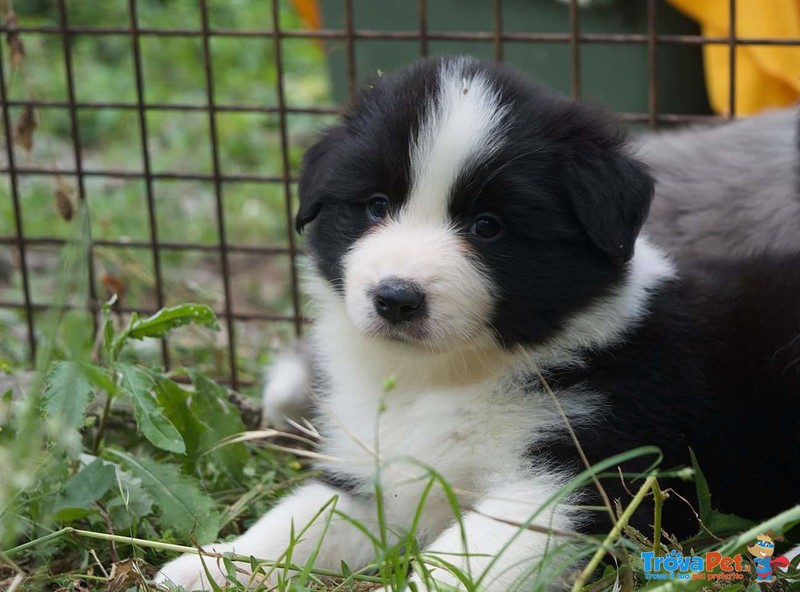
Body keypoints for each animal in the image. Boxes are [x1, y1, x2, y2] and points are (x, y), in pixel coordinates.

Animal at [158, 56, 800, 592]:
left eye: (488, 226)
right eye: (375, 206)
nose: (396, 298)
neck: (446, 377)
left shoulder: (579, 477)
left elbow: (461, 563)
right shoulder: (377, 474)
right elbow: (296, 520)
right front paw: (206, 566)